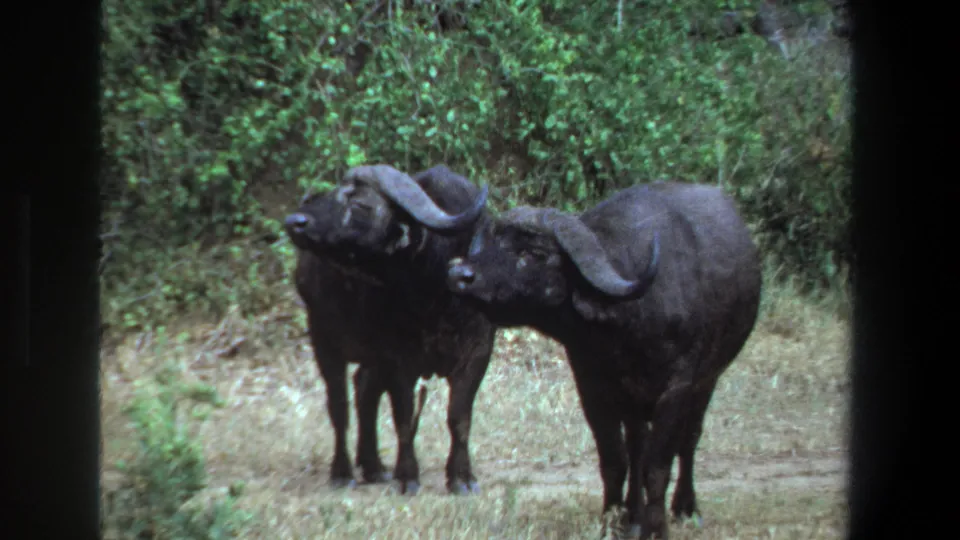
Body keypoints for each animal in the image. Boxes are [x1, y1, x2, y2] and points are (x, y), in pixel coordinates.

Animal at [283, 164, 497, 495]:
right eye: (334, 192)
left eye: (360, 204)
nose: (296, 222)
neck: (437, 292)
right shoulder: (399, 358)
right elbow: (404, 417)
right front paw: (408, 476)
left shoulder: (477, 353)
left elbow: (459, 417)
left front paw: (461, 477)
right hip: (323, 339)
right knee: (340, 406)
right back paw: (342, 472)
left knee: (364, 390)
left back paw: (372, 466)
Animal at [446, 181, 762, 539]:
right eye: (493, 242)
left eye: (533, 253)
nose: (460, 274)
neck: (626, 324)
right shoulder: (592, 387)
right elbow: (615, 460)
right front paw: (613, 521)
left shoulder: (676, 389)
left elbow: (658, 466)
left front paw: (657, 528)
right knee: (637, 446)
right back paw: (634, 516)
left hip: (708, 381)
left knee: (689, 439)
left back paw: (685, 508)